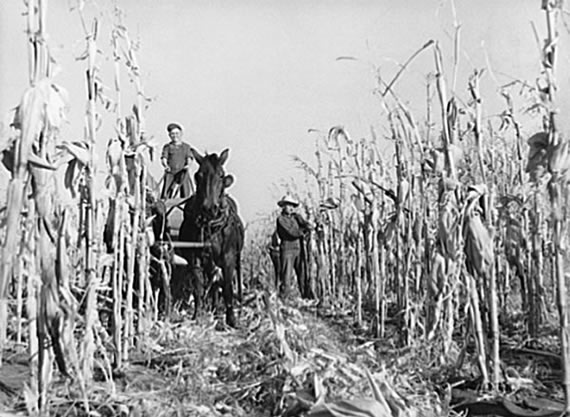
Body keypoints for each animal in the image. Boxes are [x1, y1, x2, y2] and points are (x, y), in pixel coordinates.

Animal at [179, 148, 243, 326]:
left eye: (221, 175)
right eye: (198, 175)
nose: (209, 208)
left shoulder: (228, 257)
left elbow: (227, 287)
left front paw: (231, 318)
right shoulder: (195, 257)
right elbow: (198, 287)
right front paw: (197, 315)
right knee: (213, 284)